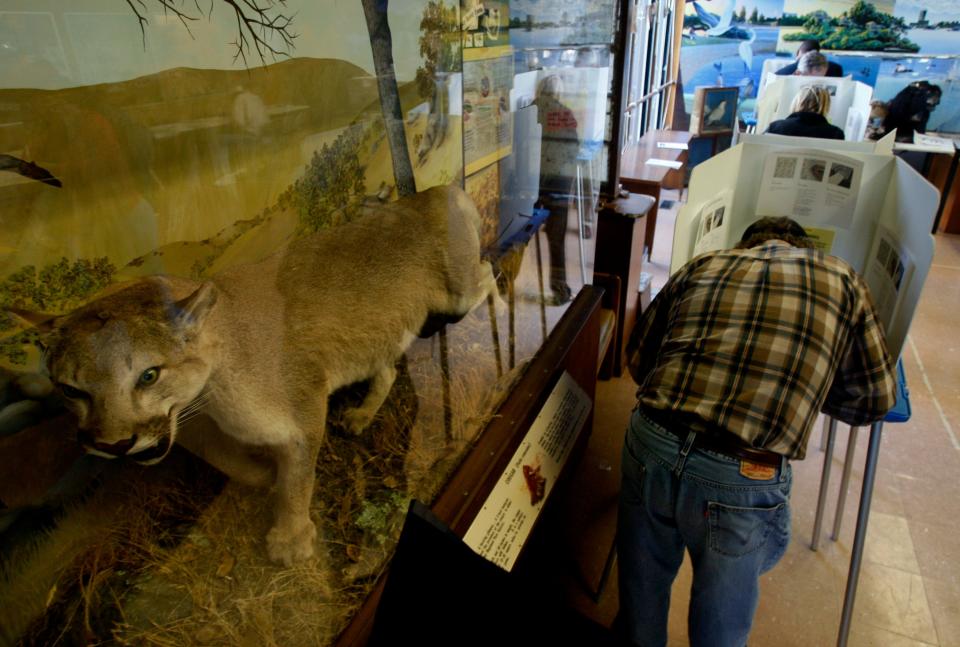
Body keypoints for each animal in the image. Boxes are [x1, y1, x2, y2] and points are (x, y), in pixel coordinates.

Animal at [15, 185, 498, 564]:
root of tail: (432, 191)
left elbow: (298, 480)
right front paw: (264, 476)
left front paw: (291, 538)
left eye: (148, 375)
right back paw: (362, 414)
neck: (209, 396)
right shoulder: (201, 434)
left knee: (489, 271)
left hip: (458, 291)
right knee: (387, 370)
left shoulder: (305, 411)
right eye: (71, 389)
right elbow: (234, 463)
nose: (112, 444)